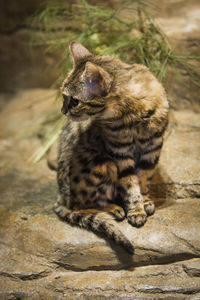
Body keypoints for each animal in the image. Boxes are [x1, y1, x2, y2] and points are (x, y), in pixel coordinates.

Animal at [54, 41, 168, 254]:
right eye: (64, 97)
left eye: (74, 101)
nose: (63, 111)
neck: (132, 114)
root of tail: (60, 196)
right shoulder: (120, 153)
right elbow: (130, 185)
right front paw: (136, 210)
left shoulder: (152, 150)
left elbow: (144, 179)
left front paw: (145, 200)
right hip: (103, 164)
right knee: (82, 205)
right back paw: (113, 209)